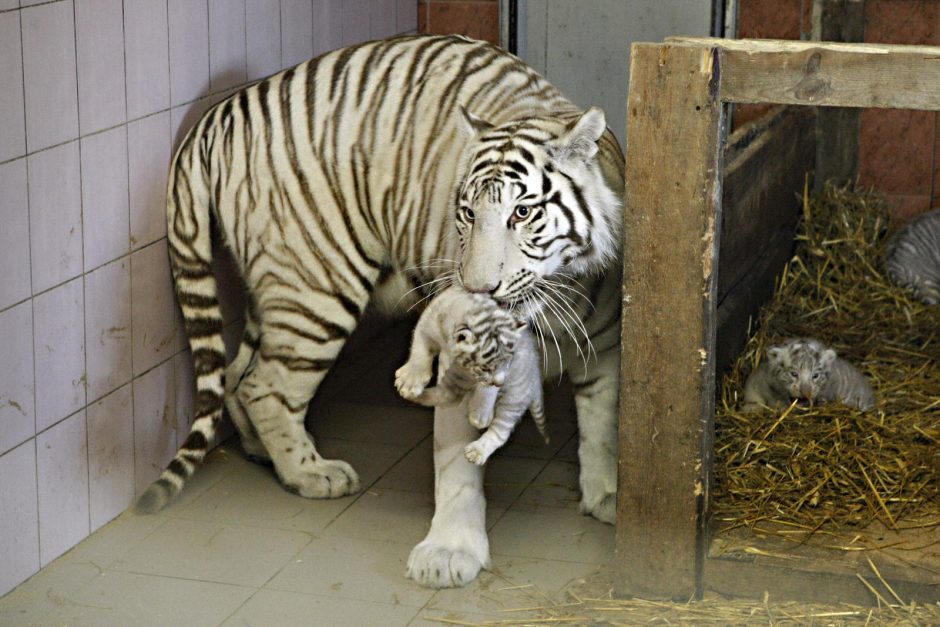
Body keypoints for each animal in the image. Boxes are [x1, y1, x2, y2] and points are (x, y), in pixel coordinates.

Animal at [140, 34, 624, 592]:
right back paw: (310, 473)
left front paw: (609, 497)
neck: (558, 295)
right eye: (466, 213)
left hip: (274, 291)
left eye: (522, 213)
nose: (478, 288)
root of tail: (215, 116)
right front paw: (448, 553)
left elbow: (602, 427)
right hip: (315, 286)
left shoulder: (608, 346)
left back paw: (263, 452)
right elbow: (457, 468)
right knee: (266, 386)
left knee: (240, 375)